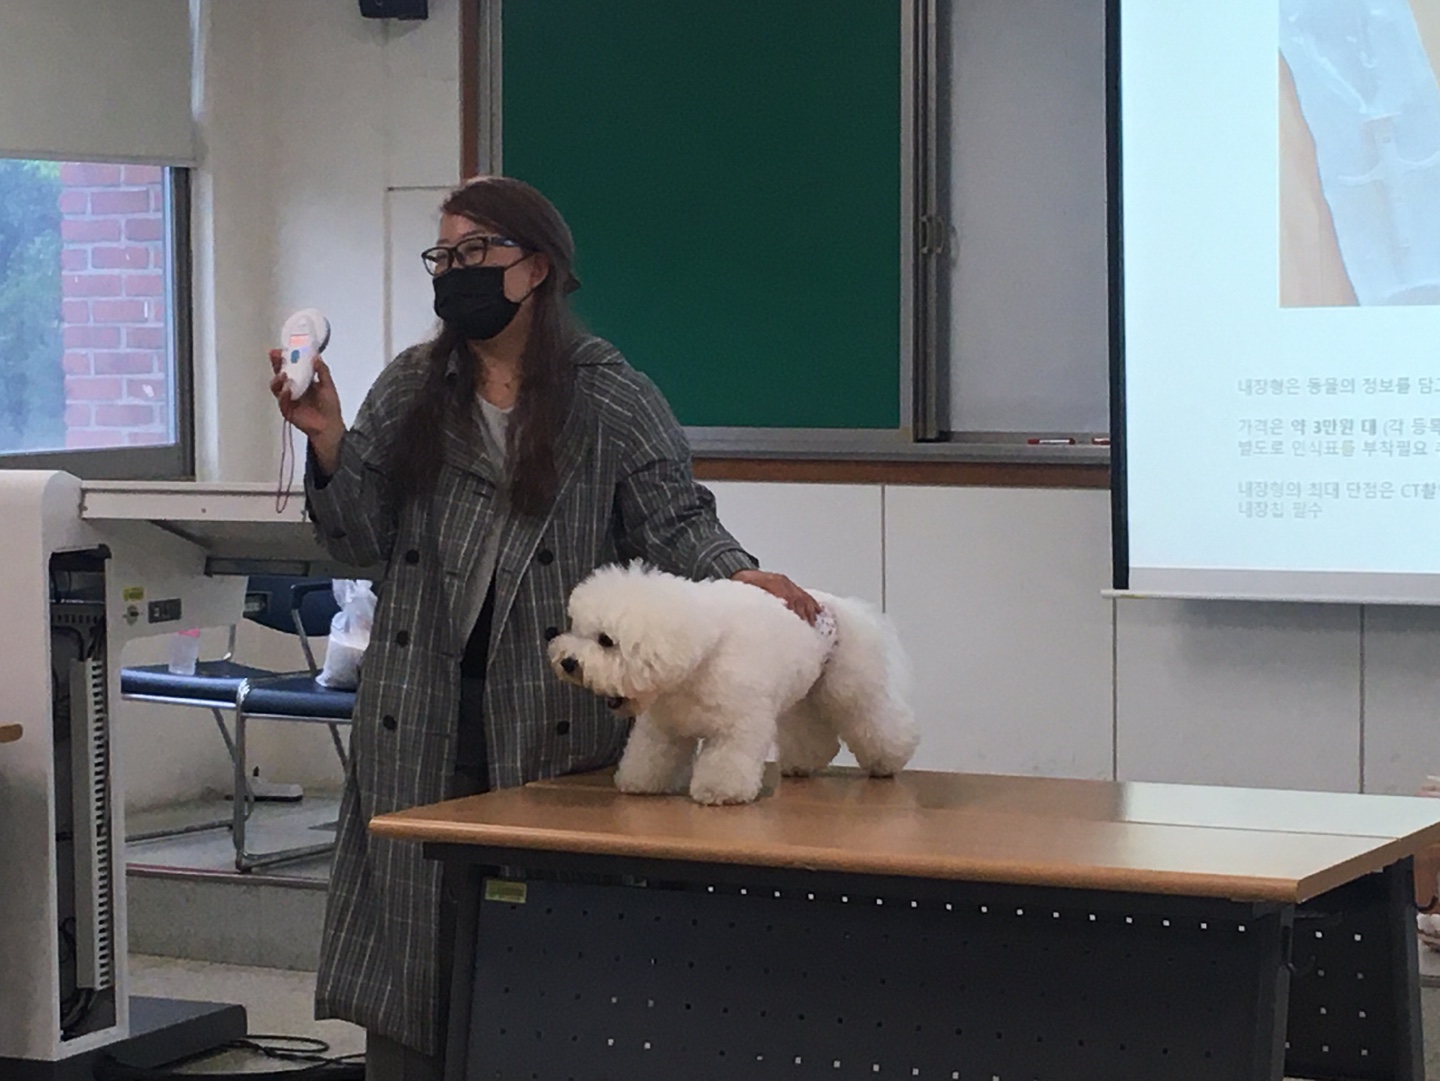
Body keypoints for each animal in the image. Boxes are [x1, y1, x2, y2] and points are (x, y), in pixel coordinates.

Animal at [547, 563, 918, 805]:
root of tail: (843, 607)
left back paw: (887, 763)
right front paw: (639, 782)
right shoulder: (663, 727)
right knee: (810, 733)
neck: (701, 655)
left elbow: (727, 760)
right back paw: (801, 764)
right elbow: (651, 754)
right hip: (804, 696)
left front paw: (719, 791)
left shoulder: (738, 725)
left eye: (606, 640)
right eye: (577, 630)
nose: (568, 662)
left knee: (875, 720)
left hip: (850, 687)